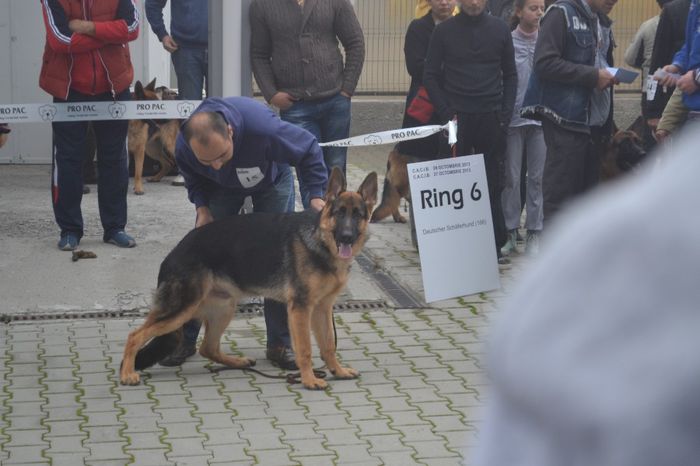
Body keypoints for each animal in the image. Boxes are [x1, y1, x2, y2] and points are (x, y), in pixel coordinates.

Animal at [123, 167, 380, 390]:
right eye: (339, 213)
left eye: (357, 215)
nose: (346, 237)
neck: (320, 242)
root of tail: (172, 254)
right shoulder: (301, 309)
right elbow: (306, 349)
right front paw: (309, 380)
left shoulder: (322, 309)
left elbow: (327, 346)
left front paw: (338, 371)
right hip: (183, 309)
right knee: (135, 335)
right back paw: (127, 374)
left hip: (223, 307)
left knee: (208, 347)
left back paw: (238, 362)